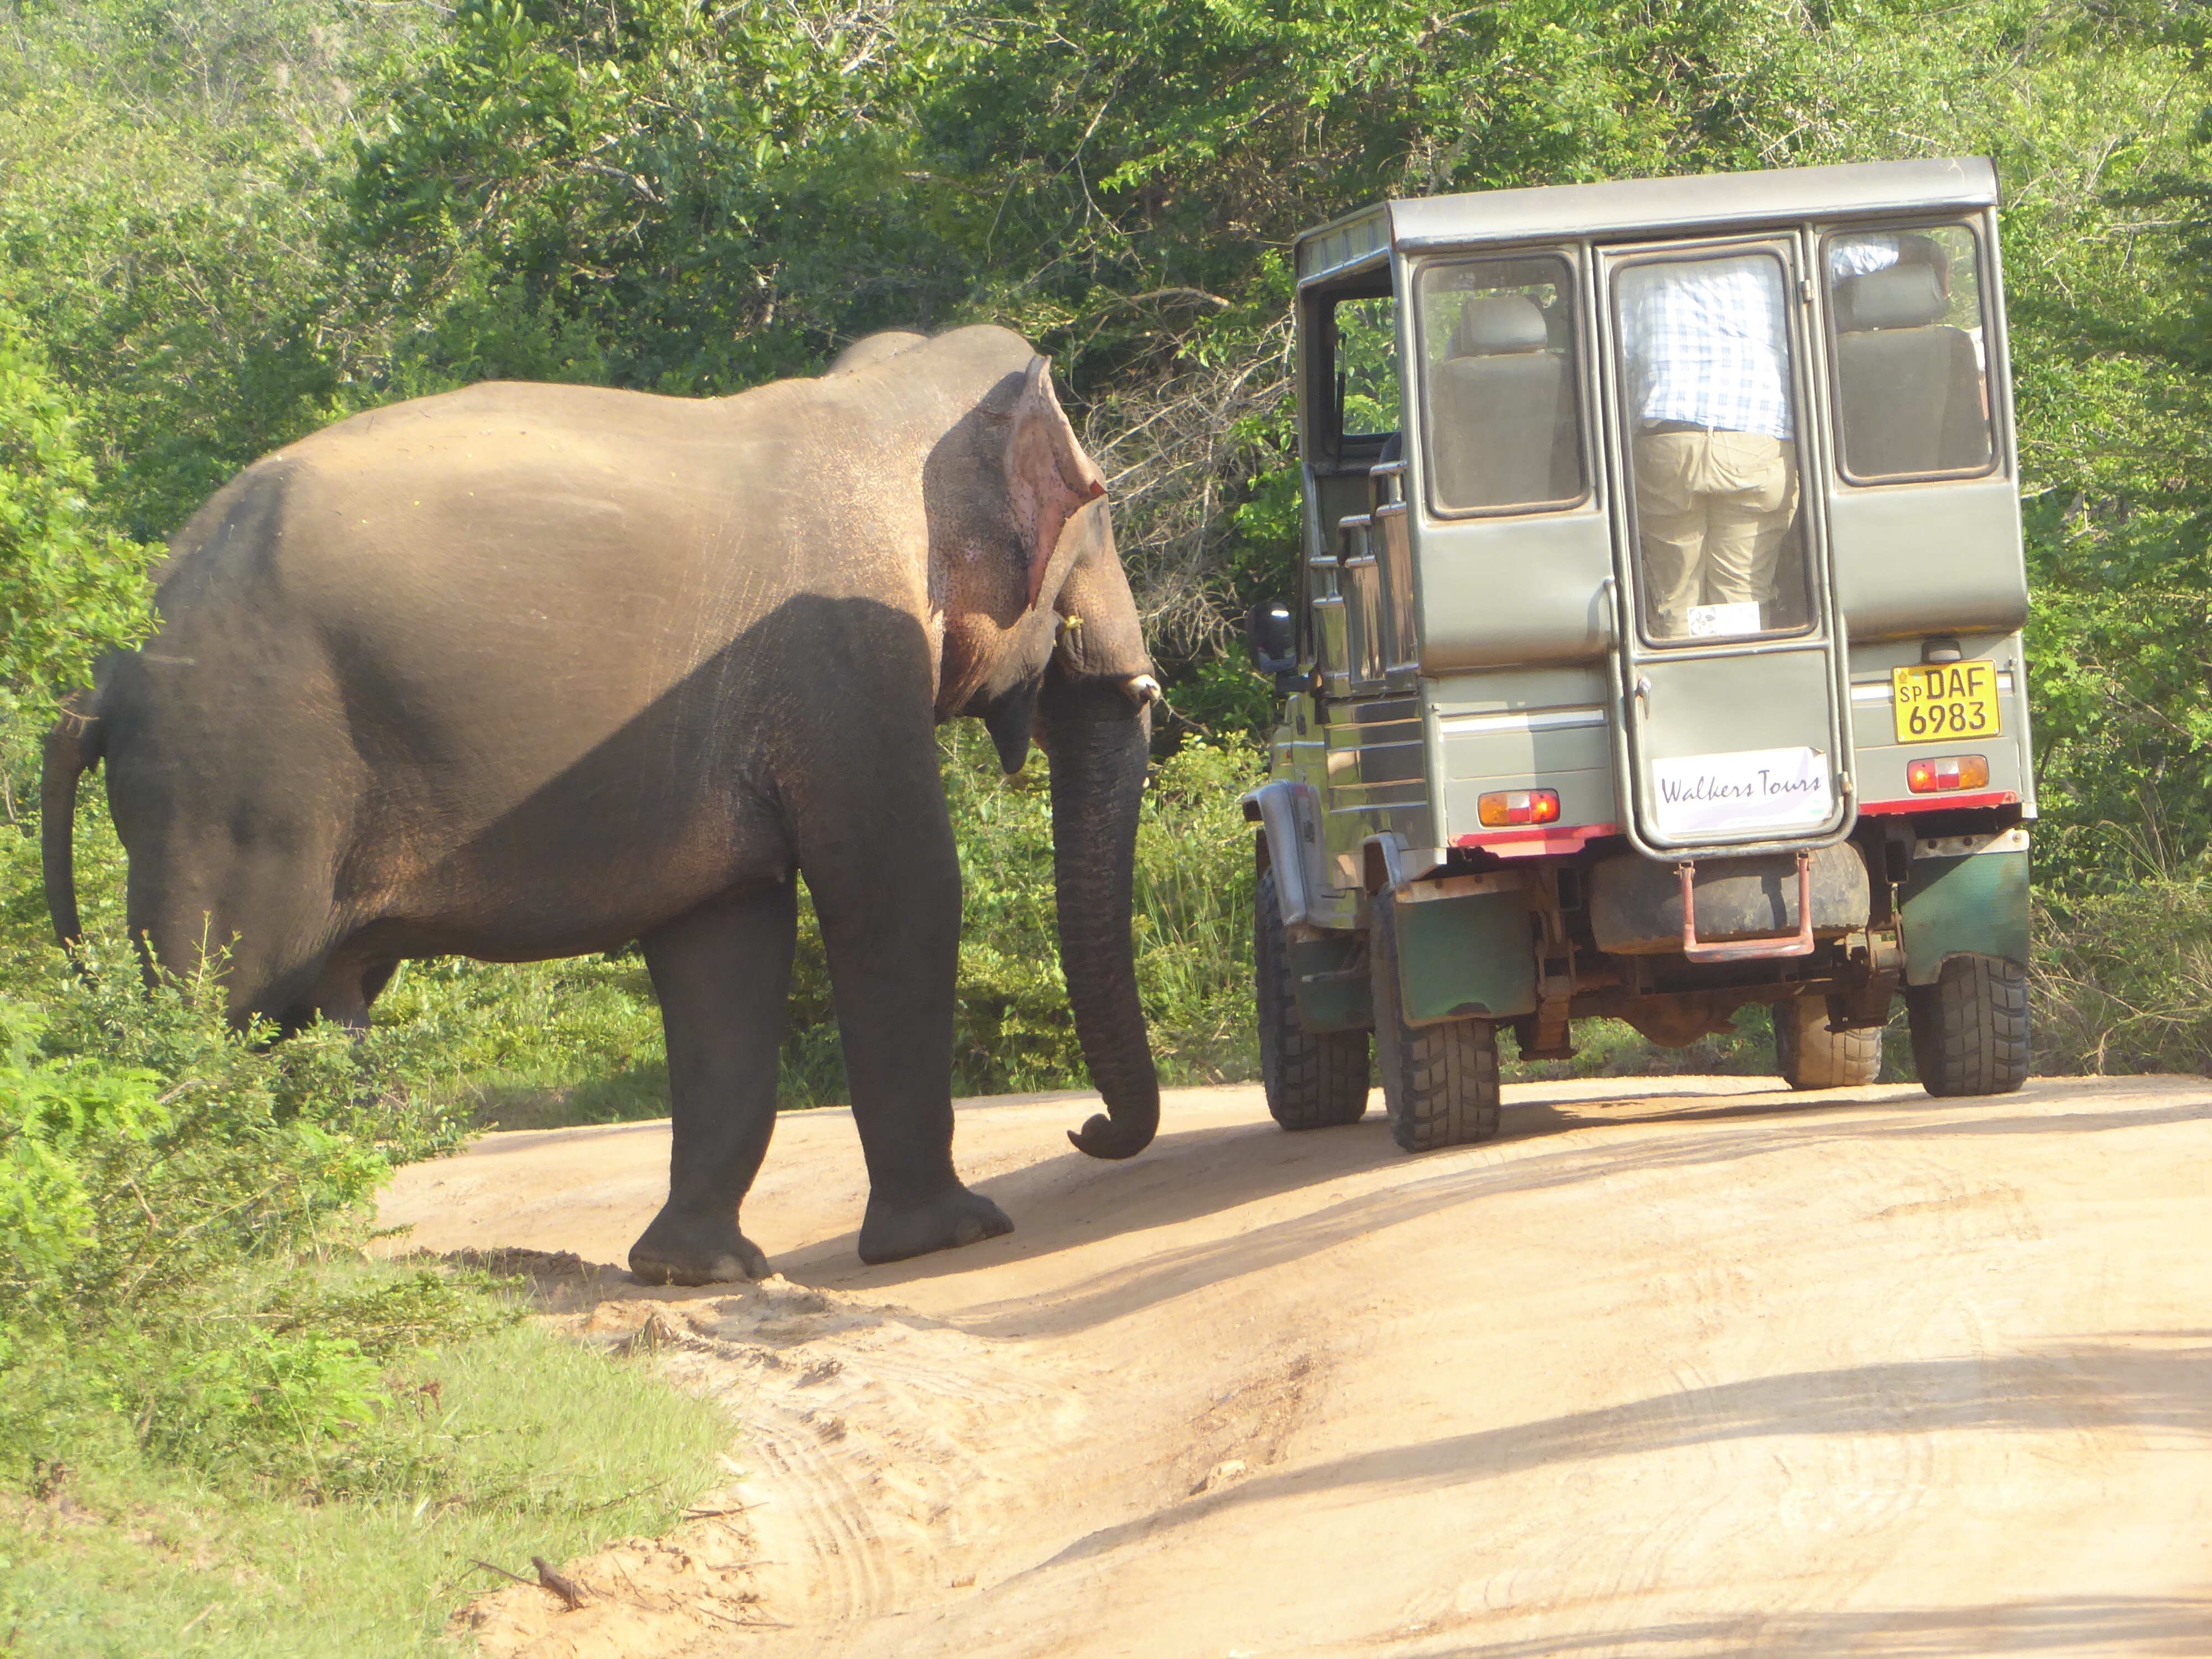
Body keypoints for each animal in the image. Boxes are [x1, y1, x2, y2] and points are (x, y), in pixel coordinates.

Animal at [40, 325, 1163, 1280]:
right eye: (1097, 520)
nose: (1088, 1130)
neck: (879, 403)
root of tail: (105, 676)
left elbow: (725, 938)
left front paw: (699, 1272)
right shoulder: (845, 659)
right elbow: (897, 888)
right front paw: (950, 1239)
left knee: (307, 1010)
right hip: (238, 783)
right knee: (223, 1004)